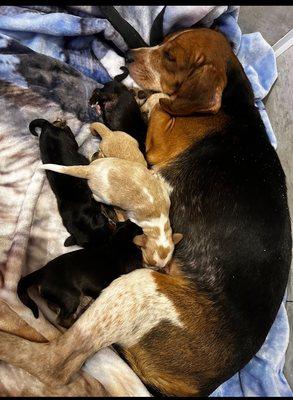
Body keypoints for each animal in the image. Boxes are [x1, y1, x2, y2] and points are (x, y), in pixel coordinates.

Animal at [41, 161, 181, 270]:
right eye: (147, 261)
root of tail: (90, 170)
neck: (159, 226)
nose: (154, 269)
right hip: (103, 197)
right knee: (96, 197)